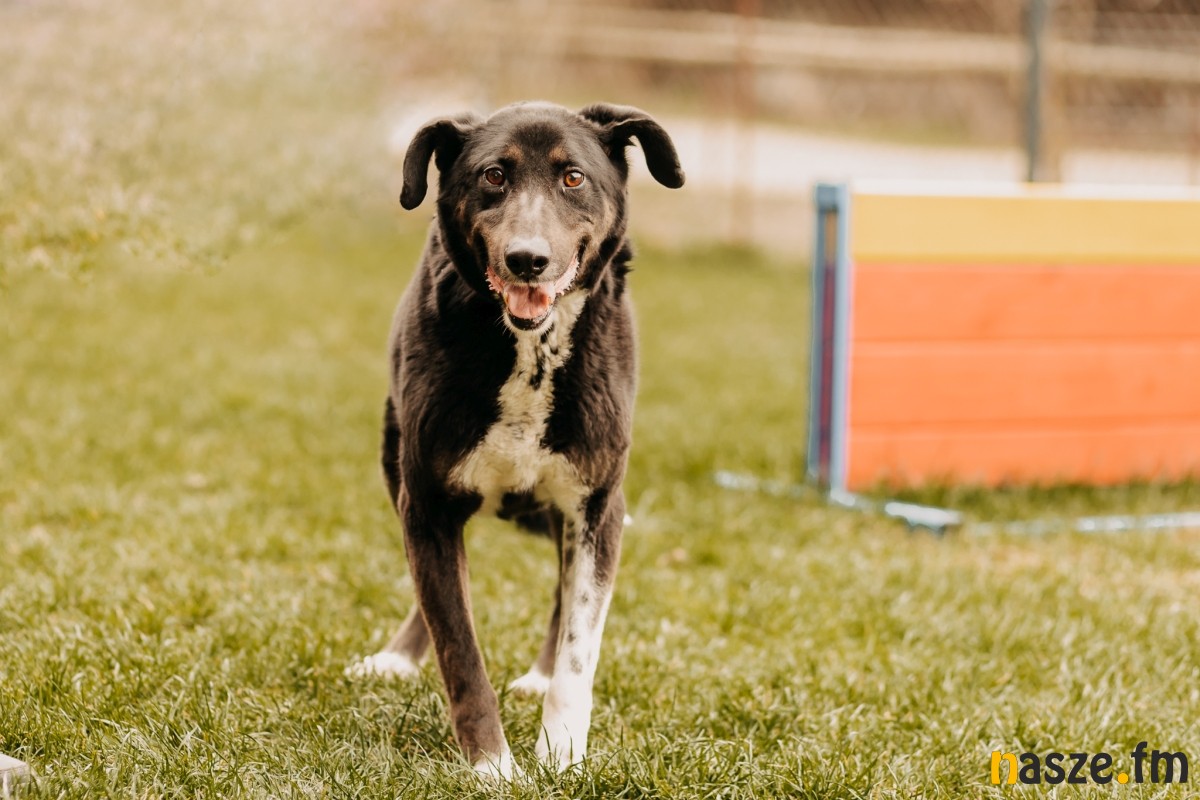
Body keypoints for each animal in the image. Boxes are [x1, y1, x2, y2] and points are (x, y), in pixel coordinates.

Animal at [346, 102, 683, 778]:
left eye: (573, 178)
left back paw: (539, 674)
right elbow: (458, 647)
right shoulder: (428, 504)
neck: (530, 349)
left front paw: (561, 753)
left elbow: (581, 645)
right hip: (396, 464)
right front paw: (491, 767)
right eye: (493, 176)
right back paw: (398, 657)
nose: (529, 259)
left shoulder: (597, 504)